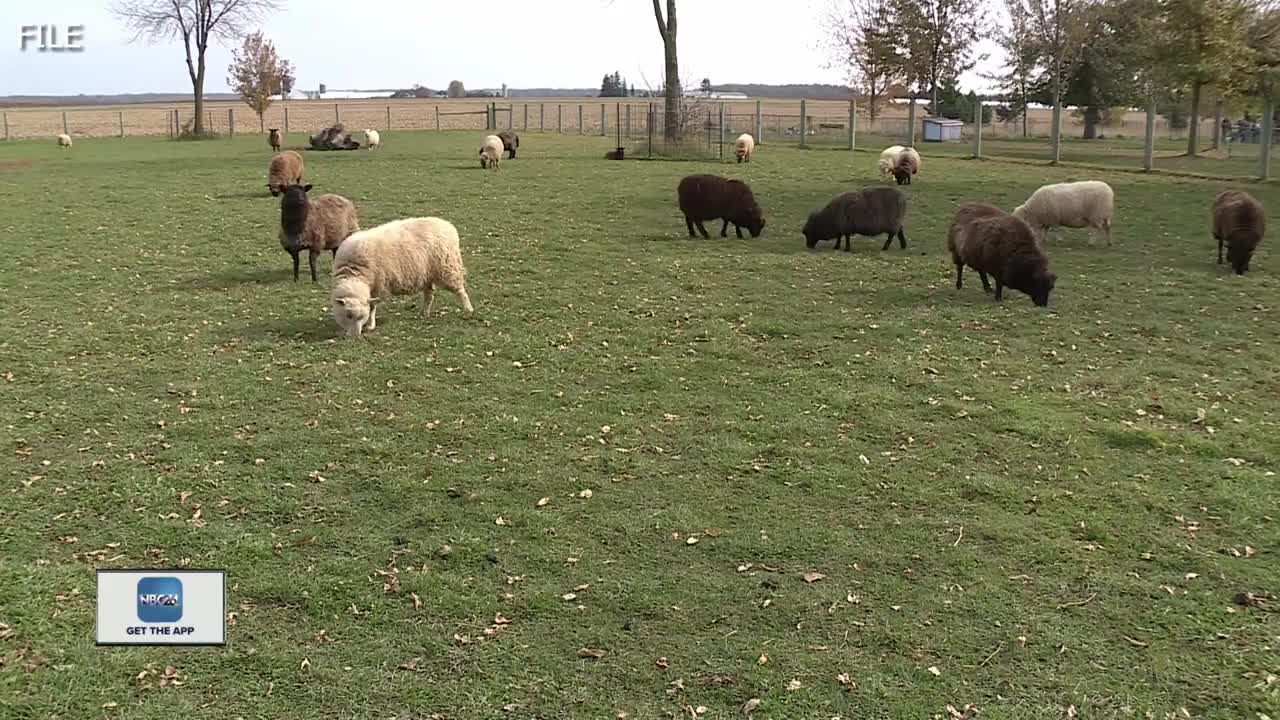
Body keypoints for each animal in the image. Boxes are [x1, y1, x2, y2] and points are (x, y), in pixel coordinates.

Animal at [330, 215, 476, 335]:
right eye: (348, 315)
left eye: (361, 317)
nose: (355, 336)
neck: (355, 274)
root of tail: (448, 225)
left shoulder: (378, 285)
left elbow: (372, 307)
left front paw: (370, 325)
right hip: (427, 274)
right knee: (429, 295)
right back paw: (424, 313)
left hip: (447, 267)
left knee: (460, 290)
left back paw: (468, 311)